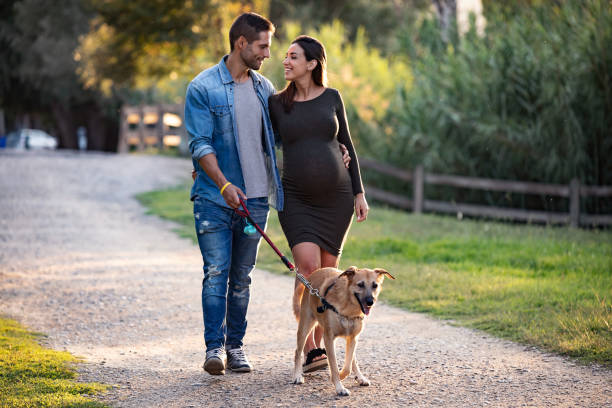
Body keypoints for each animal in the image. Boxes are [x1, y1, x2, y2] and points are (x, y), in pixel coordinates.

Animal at [292, 264, 396, 396]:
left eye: (375, 285)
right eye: (360, 284)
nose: (370, 302)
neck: (349, 307)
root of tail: (315, 273)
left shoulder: (353, 338)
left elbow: (348, 366)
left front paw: (341, 376)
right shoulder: (329, 338)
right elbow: (334, 366)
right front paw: (339, 387)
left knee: (352, 360)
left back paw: (360, 378)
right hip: (305, 326)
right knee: (298, 352)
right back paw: (297, 376)